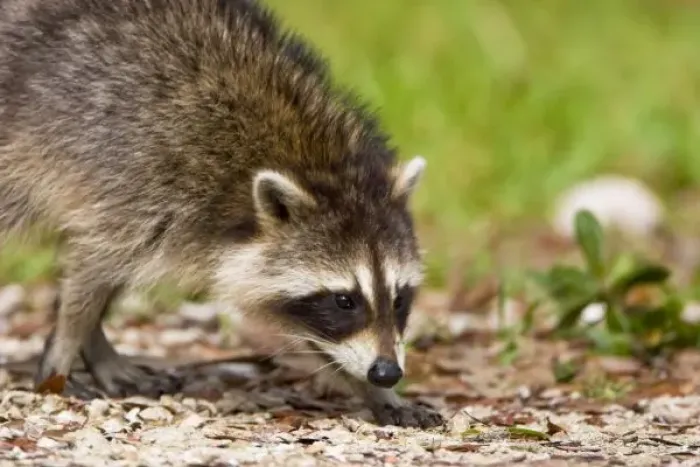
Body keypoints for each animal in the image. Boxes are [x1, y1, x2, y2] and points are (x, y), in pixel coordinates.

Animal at [0, 0, 443, 427]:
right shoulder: (139, 187)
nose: (386, 372)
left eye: (399, 298)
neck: (317, 163)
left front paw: (379, 394)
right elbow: (91, 272)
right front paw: (63, 351)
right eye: (344, 300)